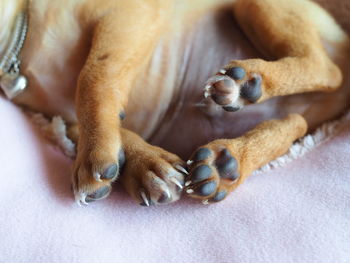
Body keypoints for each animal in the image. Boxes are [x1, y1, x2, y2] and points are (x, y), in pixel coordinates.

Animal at [0, 0, 348, 206]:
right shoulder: (65, 118)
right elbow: (113, 129)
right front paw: (146, 165)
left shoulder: (125, 17)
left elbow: (94, 76)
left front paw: (96, 155)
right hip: (293, 115)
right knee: (295, 122)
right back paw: (227, 164)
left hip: (258, 4)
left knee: (328, 70)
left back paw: (249, 81)